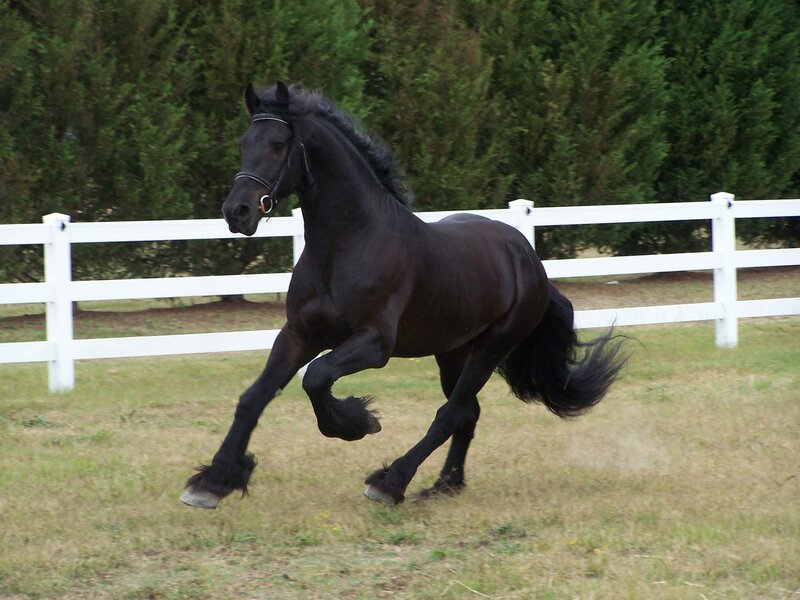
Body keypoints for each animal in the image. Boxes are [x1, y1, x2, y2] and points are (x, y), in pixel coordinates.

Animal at [181, 81, 628, 508]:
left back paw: (391, 482)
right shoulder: (298, 335)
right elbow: (254, 397)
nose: (237, 212)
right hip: (453, 352)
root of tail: (529, 258)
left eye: (278, 144)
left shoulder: (374, 344)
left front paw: (358, 422)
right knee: (467, 413)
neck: (347, 245)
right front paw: (214, 482)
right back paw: (445, 485)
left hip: (491, 349)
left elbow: (317, 377)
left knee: (450, 413)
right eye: (244, 143)